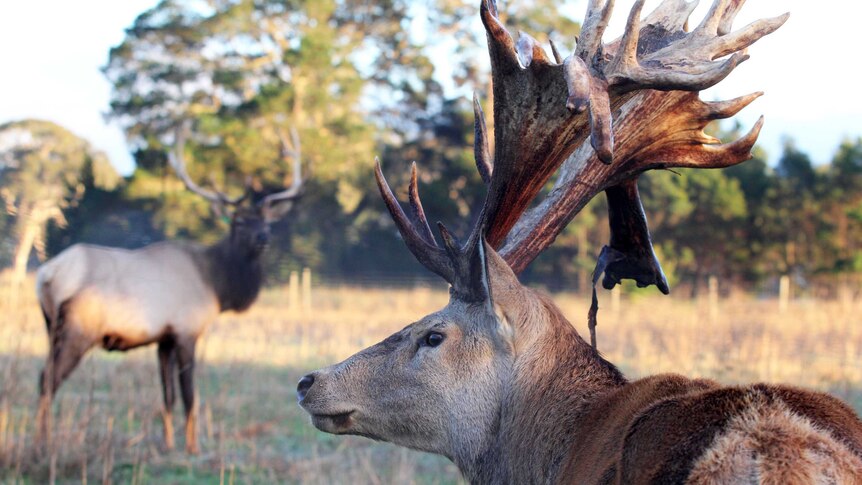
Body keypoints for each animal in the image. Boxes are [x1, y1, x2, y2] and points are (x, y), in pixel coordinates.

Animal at [35, 122, 306, 454]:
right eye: (238, 222)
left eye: (267, 221)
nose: (263, 239)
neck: (217, 285)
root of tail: (48, 274)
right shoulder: (187, 332)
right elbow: (191, 396)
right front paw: (193, 447)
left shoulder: (163, 339)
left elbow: (168, 396)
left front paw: (167, 443)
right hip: (78, 330)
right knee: (48, 379)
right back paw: (43, 442)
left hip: (50, 328)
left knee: (44, 376)